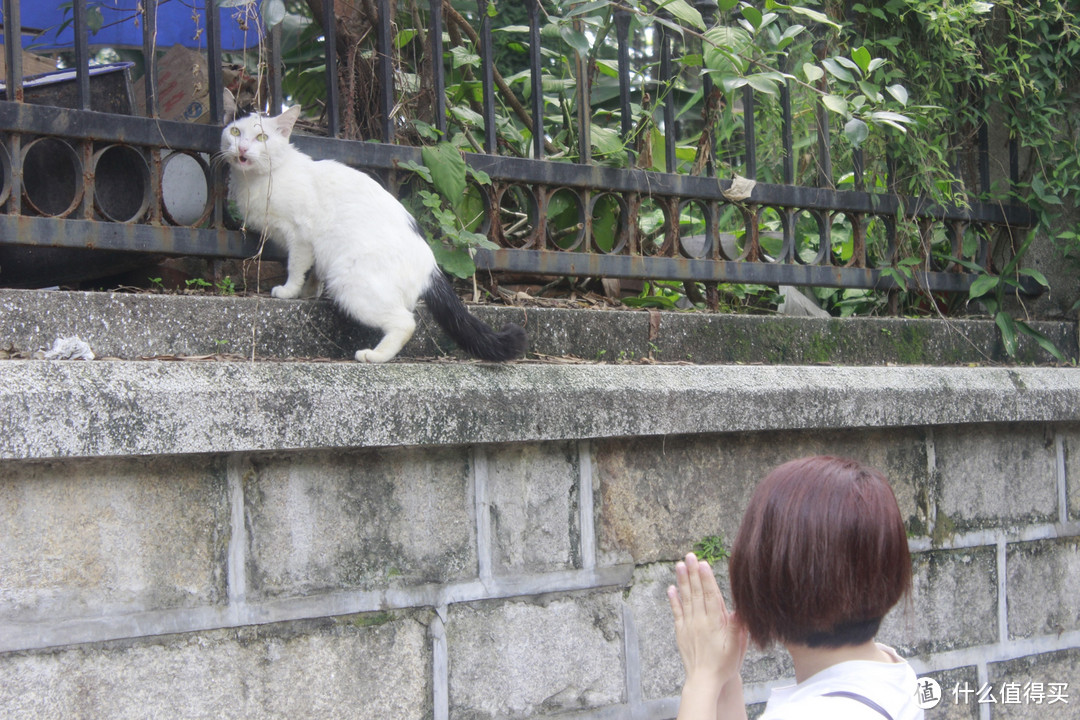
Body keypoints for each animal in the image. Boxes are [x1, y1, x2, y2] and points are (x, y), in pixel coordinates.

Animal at [218, 105, 527, 367]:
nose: (242, 148)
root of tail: (432, 267)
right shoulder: (313, 248)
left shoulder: (301, 235)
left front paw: (289, 291)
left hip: (350, 283)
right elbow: (314, 271)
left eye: (262, 137)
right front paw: (308, 292)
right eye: (235, 132)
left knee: (406, 323)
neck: (258, 181)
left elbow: (296, 266)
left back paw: (375, 355)